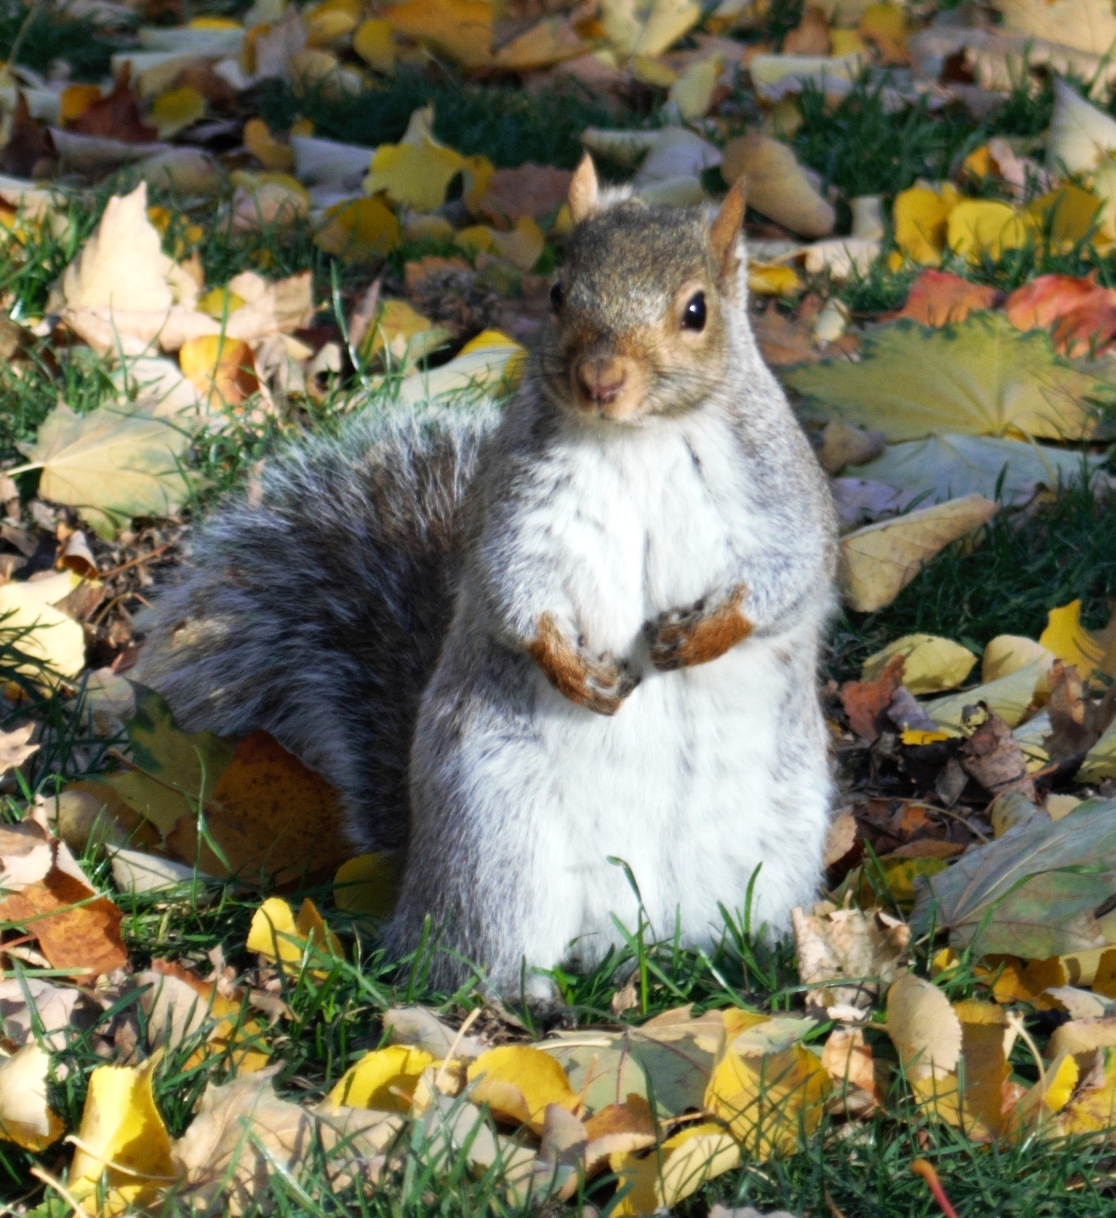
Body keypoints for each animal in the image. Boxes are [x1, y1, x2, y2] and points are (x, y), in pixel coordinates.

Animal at [137, 157, 838, 1003]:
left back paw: (760, 966)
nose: (600, 379)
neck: (638, 437)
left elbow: (789, 576)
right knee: (483, 957)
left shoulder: (782, 495)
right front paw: (575, 672)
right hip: (498, 840)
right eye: (559, 293)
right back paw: (521, 1002)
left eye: (696, 311)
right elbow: (514, 595)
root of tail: (636, 937)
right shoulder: (518, 514)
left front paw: (701, 637)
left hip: (781, 839)